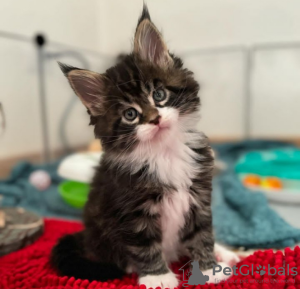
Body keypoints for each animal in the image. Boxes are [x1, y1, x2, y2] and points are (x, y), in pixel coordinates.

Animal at [51, 5, 239, 288]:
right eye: (130, 115)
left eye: (159, 95)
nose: (155, 119)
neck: (165, 150)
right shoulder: (132, 209)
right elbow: (145, 245)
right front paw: (158, 276)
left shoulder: (199, 197)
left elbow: (202, 235)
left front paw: (209, 269)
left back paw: (225, 252)